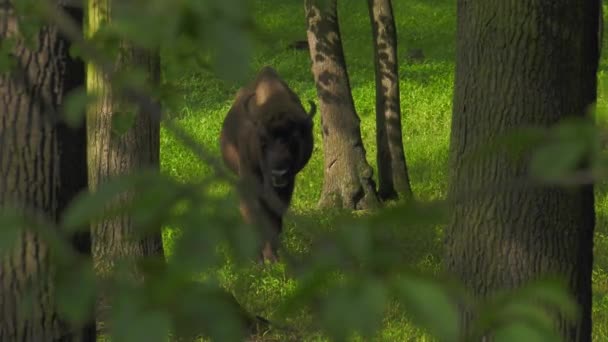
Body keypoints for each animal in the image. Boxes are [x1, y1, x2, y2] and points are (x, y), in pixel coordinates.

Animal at [220, 66, 316, 262]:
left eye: (293, 140)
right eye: (263, 141)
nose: (279, 174)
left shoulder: (287, 185)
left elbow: (274, 218)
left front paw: (273, 257)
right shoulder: (250, 179)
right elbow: (255, 215)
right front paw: (260, 259)